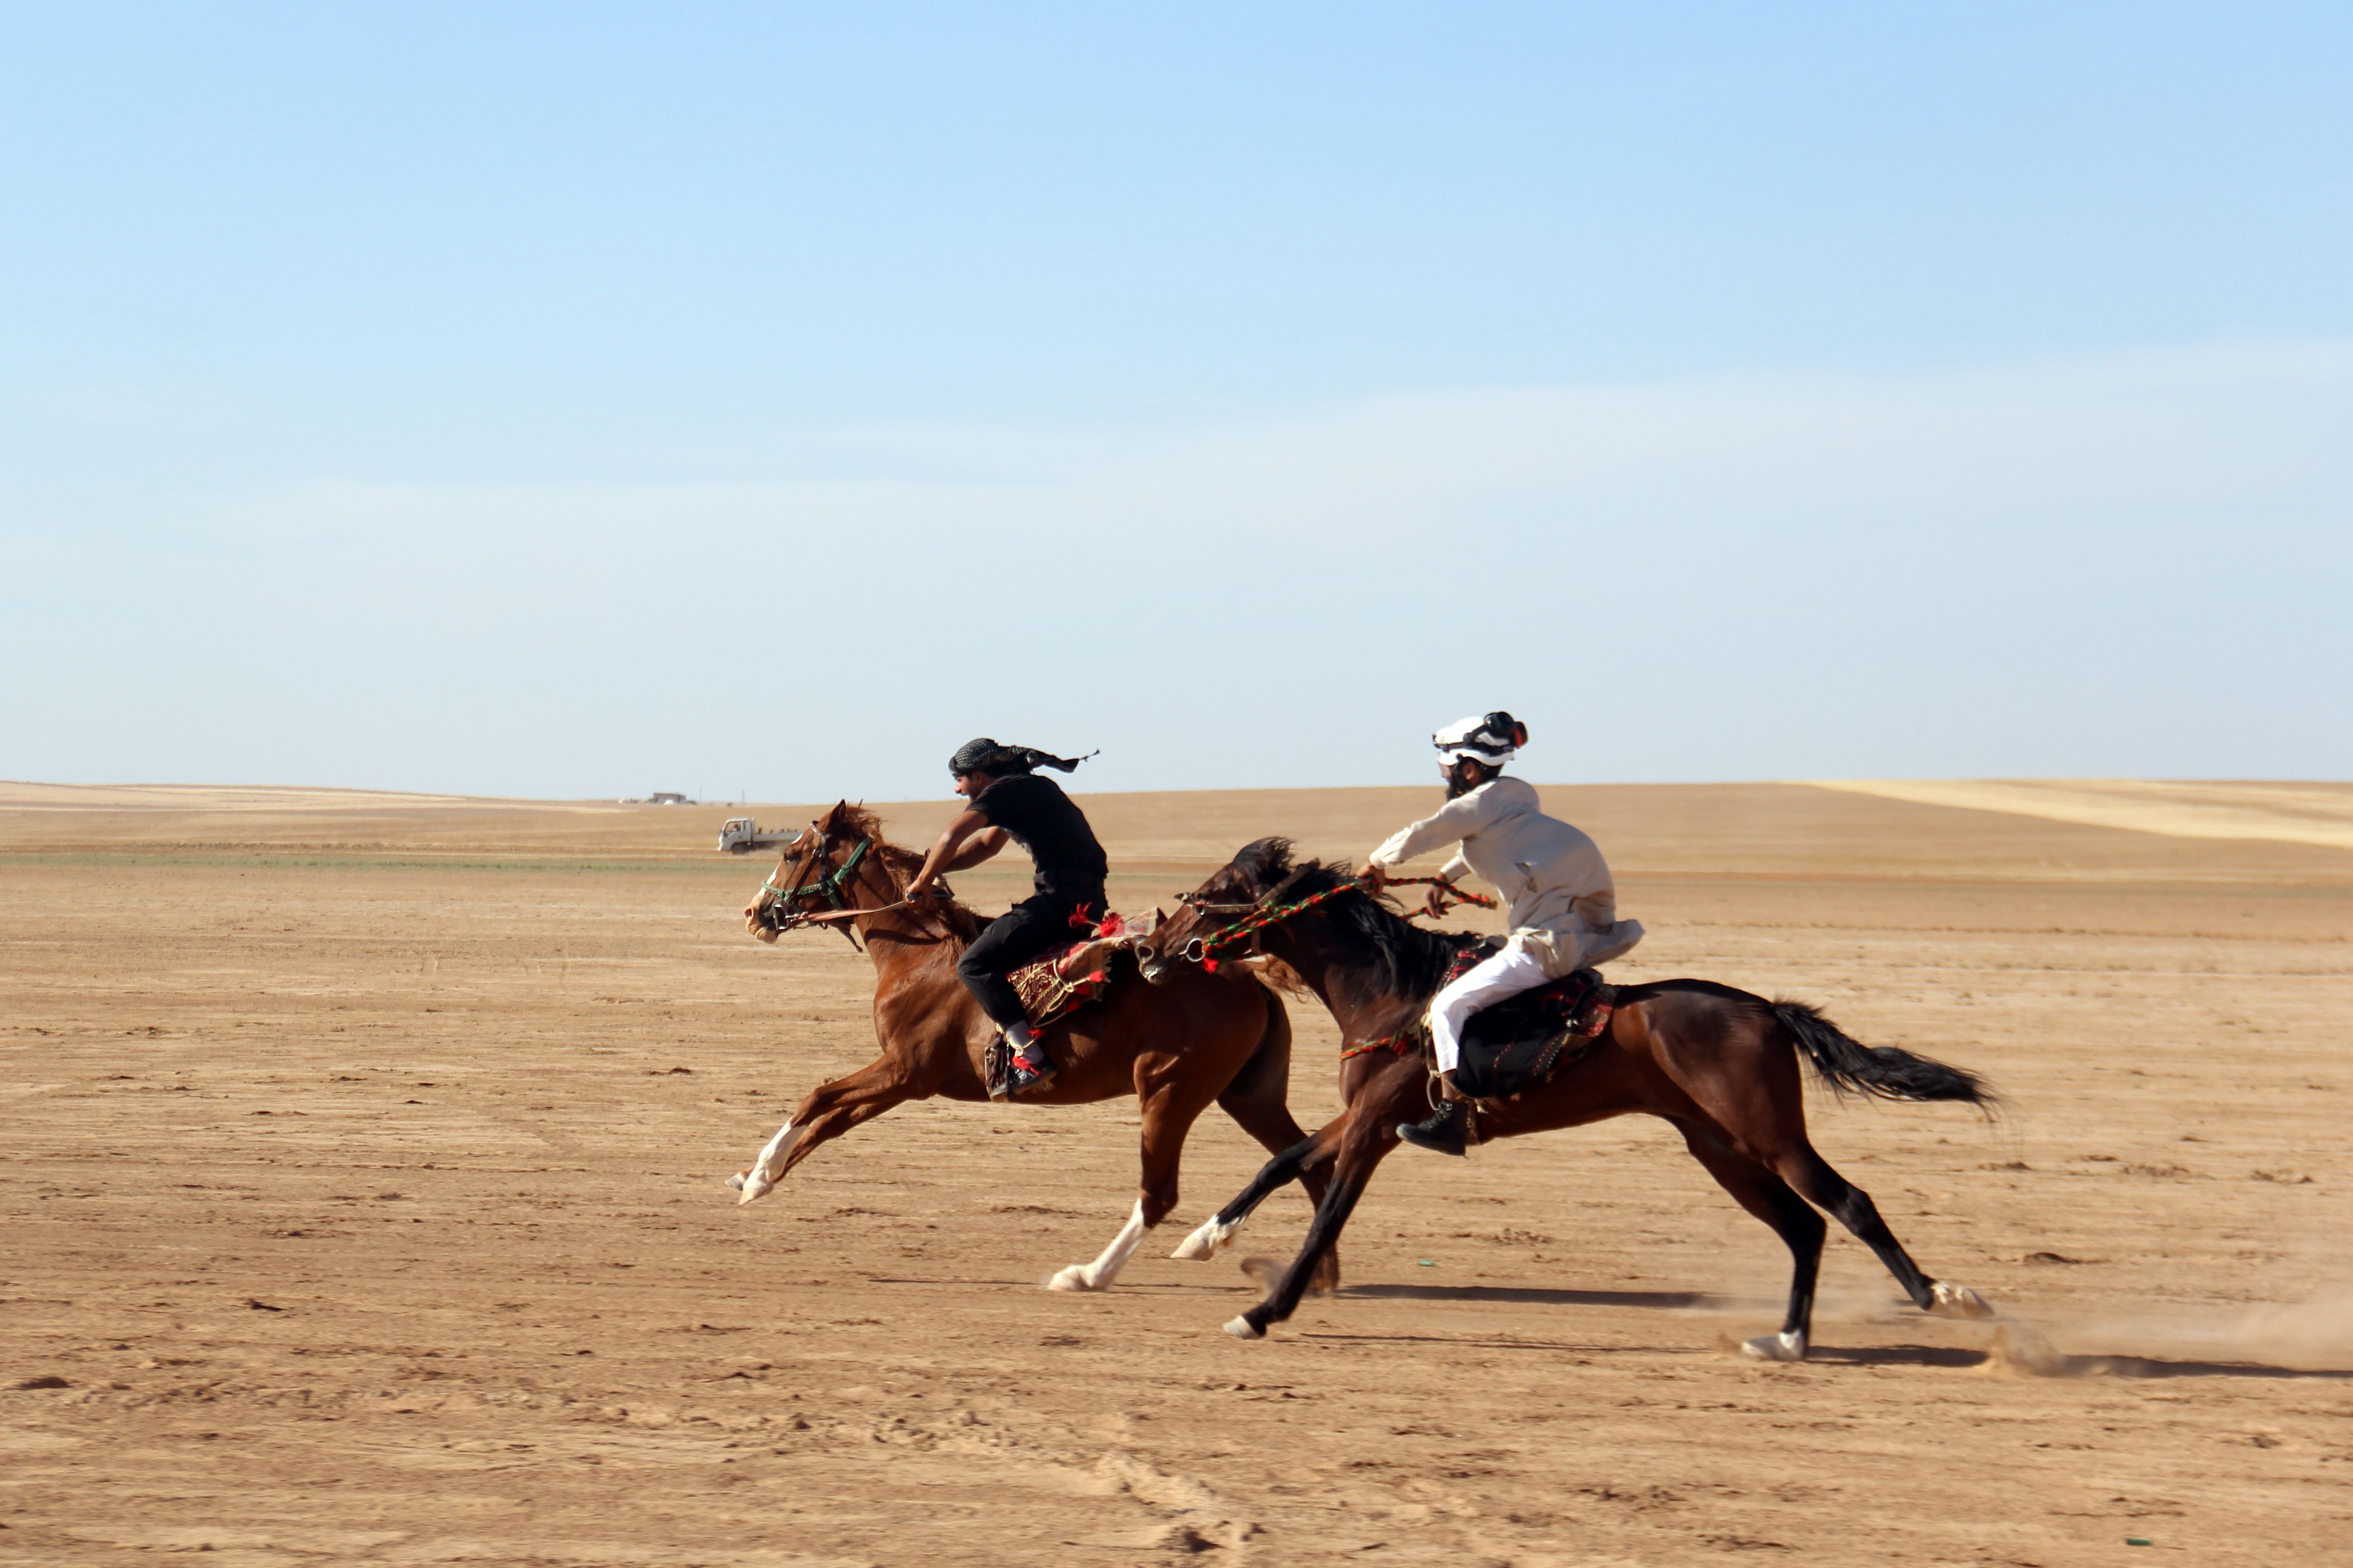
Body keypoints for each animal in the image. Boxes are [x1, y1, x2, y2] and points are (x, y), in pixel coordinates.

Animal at [724, 804, 1336, 1297]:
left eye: (791, 853)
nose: (754, 913)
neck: (920, 957)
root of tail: (1247, 975)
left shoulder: (905, 1071)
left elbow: (817, 1098)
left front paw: (758, 1174)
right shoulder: (903, 1083)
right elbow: (830, 1122)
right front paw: (756, 1178)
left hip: (1169, 1090)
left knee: (1160, 1194)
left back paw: (1087, 1275)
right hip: (1247, 1095)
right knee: (1305, 1160)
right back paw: (1313, 1274)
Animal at [1129, 832, 1995, 1363]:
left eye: (1214, 892)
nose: (1152, 951)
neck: (1392, 991)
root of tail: (1764, 1008)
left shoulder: (1377, 1124)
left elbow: (1325, 1215)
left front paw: (1261, 1311)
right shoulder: (1363, 1114)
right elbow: (1281, 1162)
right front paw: (1204, 1238)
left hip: (1769, 1133)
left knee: (1847, 1203)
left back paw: (1941, 1296)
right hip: (1719, 1148)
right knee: (1803, 1226)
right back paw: (1784, 1340)